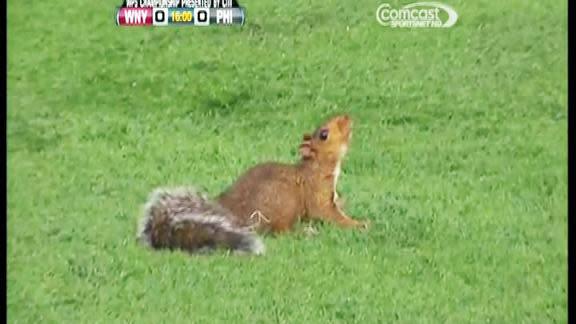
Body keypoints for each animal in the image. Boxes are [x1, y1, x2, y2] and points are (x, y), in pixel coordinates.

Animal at [137, 114, 366, 256]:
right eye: (324, 134)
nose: (347, 117)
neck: (316, 168)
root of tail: (230, 212)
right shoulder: (317, 196)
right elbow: (329, 215)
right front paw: (359, 224)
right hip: (281, 205)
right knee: (279, 231)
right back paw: (305, 232)